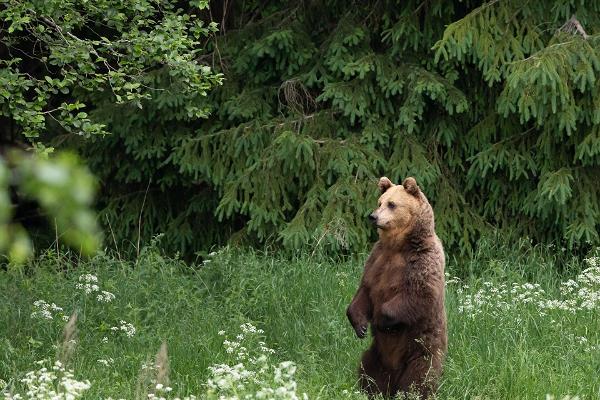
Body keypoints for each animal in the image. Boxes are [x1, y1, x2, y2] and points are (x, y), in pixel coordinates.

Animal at [346, 177, 446, 398]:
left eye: (392, 204)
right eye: (379, 201)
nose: (373, 216)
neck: (398, 245)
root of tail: (394, 375)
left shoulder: (422, 260)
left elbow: (419, 294)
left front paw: (379, 320)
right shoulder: (376, 260)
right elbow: (364, 291)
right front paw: (360, 326)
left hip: (420, 349)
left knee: (419, 377)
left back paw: (412, 393)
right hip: (376, 354)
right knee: (367, 369)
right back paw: (370, 391)